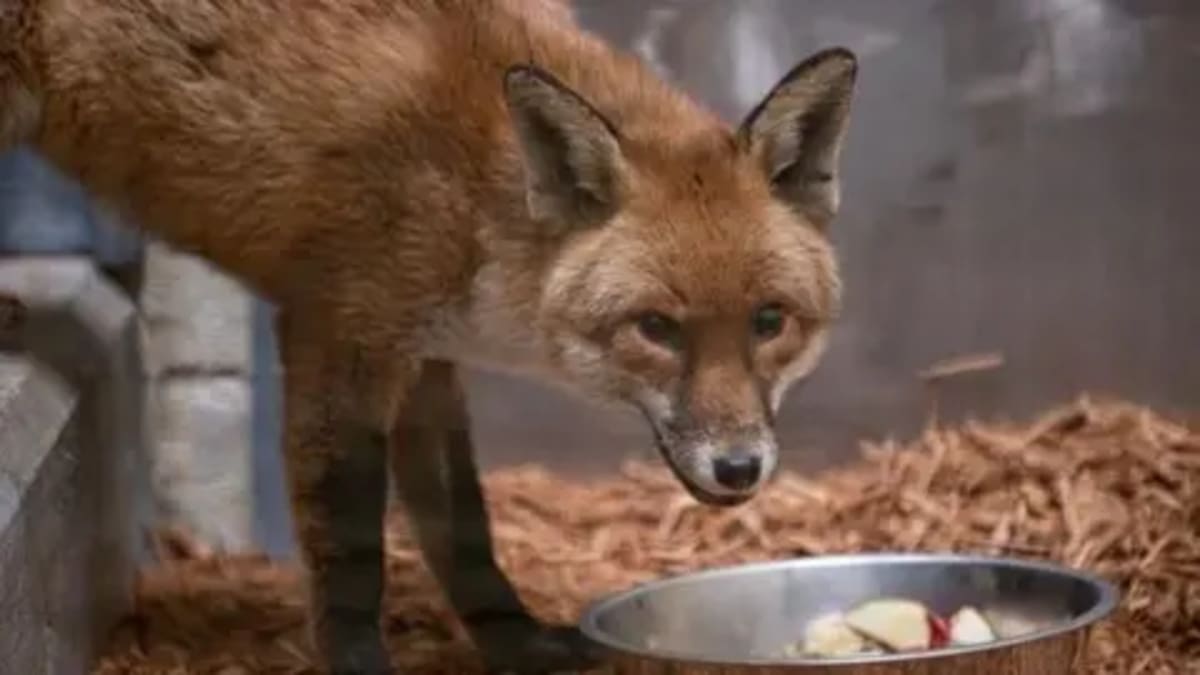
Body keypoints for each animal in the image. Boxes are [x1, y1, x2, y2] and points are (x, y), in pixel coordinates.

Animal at [0, 0, 857, 672]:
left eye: (769, 321)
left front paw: (516, 643)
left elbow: (464, 530)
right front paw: (359, 661)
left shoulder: (429, 360)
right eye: (656, 328)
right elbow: (350, 547)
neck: (475, 184)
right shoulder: (338, 335)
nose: (740, 467)